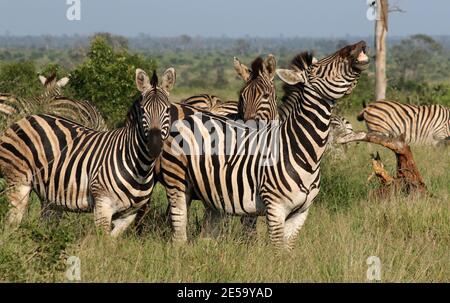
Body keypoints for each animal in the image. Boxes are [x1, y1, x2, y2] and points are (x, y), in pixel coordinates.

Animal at [0, 69, 174, 238]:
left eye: (167, 110)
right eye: (143, 111)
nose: (155, 145)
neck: (140, 167)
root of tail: (27, 118)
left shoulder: (129, 215)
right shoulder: (103, 205)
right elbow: (103, 242)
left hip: (48, 193)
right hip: (18, 181)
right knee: (11, 223)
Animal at [158, 41, 370, 249]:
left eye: (267, 95)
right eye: (316, 69)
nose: (359, 44)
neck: (302, 151)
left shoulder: (300, 212)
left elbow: (286, 250)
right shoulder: (275, 208)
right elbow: (272, 248)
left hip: (210, 193)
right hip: (176, 183)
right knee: (178, 231)